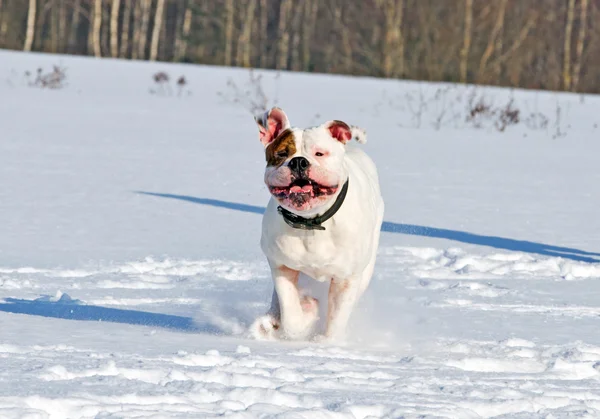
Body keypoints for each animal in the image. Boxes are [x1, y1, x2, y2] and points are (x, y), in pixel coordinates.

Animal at [250, 107, 384, 342]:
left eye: (319, 154)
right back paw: (270, 322)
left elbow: (337, 317)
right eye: (282, 154)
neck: (310, 223)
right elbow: (290, 314)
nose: (298, 162)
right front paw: (306, 312)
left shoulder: (345, 279)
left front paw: (326, 343)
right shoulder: (282, 267)